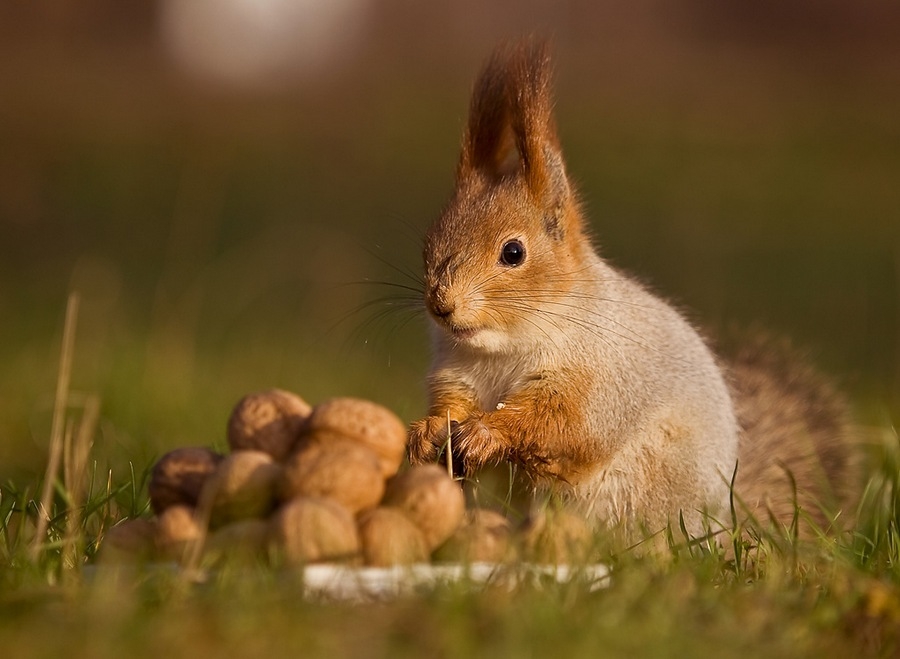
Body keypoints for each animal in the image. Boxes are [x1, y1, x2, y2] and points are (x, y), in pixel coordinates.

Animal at [406, 41, 856, 540]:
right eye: (429, 240)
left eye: (513, 252)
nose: (441, 305)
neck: (502, 347)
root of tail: (720, 525)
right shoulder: (456, 371)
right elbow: (452, 403)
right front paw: (428, 431)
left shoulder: (601, 377)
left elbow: (562, 424)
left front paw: (488, 433)